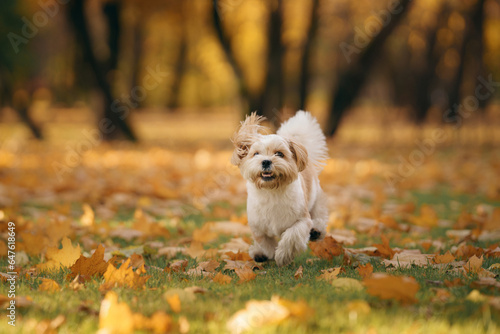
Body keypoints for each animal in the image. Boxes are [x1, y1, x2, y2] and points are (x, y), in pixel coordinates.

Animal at [232, 111, 330, 266]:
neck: (272, 191)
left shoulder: (302, 220)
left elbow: (292, 236)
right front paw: (267, 253)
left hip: (316, 201)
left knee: (319, 215)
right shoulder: (257, 227)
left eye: (279, 154)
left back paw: (316, 231)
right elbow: (265, 242)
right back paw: (258, 253)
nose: (266, 161)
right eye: (256, 153)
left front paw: (283, 255)